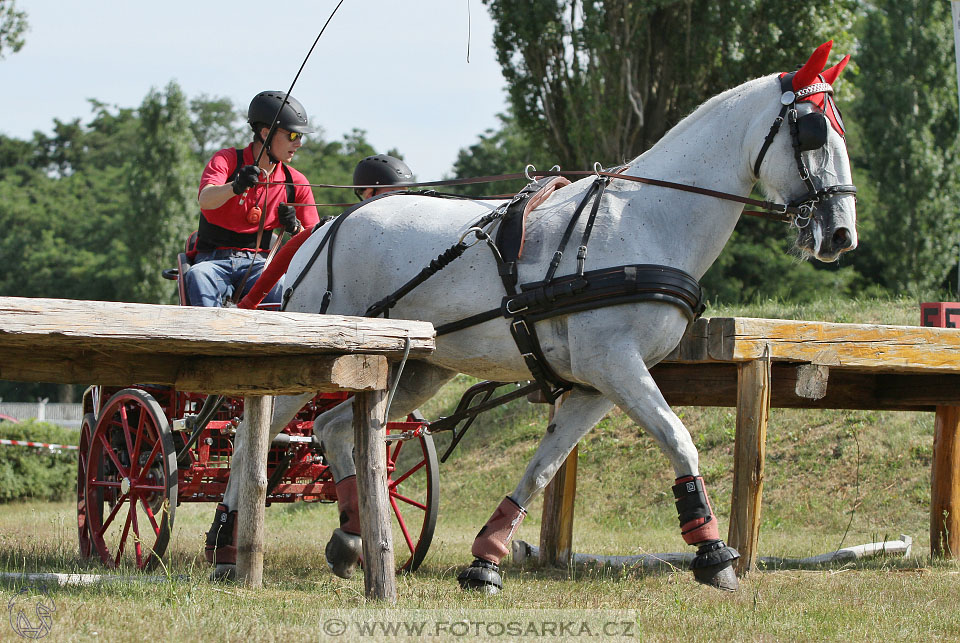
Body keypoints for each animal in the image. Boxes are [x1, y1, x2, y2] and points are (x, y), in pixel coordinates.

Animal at [206, 41, 860, 592]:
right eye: (811, 132)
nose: (841, 235)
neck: (649, 219)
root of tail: (325, 227)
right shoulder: (616, 365)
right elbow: (680, 439)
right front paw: (713, 553)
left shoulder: (597, 383)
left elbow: (544, 468)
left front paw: (486, 560)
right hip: (317, 355)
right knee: (248, 441)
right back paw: (225, 544)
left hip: (414, 369)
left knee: (336, 427)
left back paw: (350, 536)